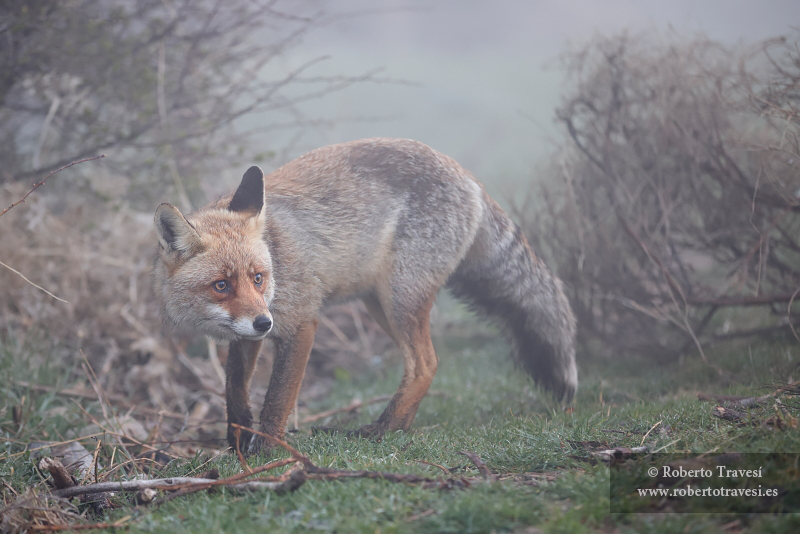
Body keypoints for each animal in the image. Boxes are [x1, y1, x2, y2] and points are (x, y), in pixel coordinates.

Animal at [152, 138, 576, 452]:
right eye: (221, 285)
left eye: (258, 278)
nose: (263, 322)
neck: (277, 256)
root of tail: (469, 176)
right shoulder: (247, 336)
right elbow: (235, 390)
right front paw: (238, 441)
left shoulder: (301, 323)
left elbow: (276, 400)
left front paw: (268, 453)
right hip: (379, 305)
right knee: (423, 365)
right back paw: (398, 427)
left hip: (400, 300)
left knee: (425, 363)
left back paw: (382, 430)